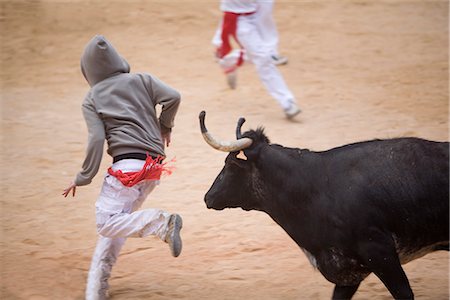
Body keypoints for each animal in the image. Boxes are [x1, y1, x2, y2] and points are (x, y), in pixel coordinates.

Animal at [199, 111, 448, 298]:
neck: (316, 186)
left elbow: (404, 293)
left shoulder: (381, 254)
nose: (208, 197)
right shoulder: (348, 272)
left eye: (230, 165)